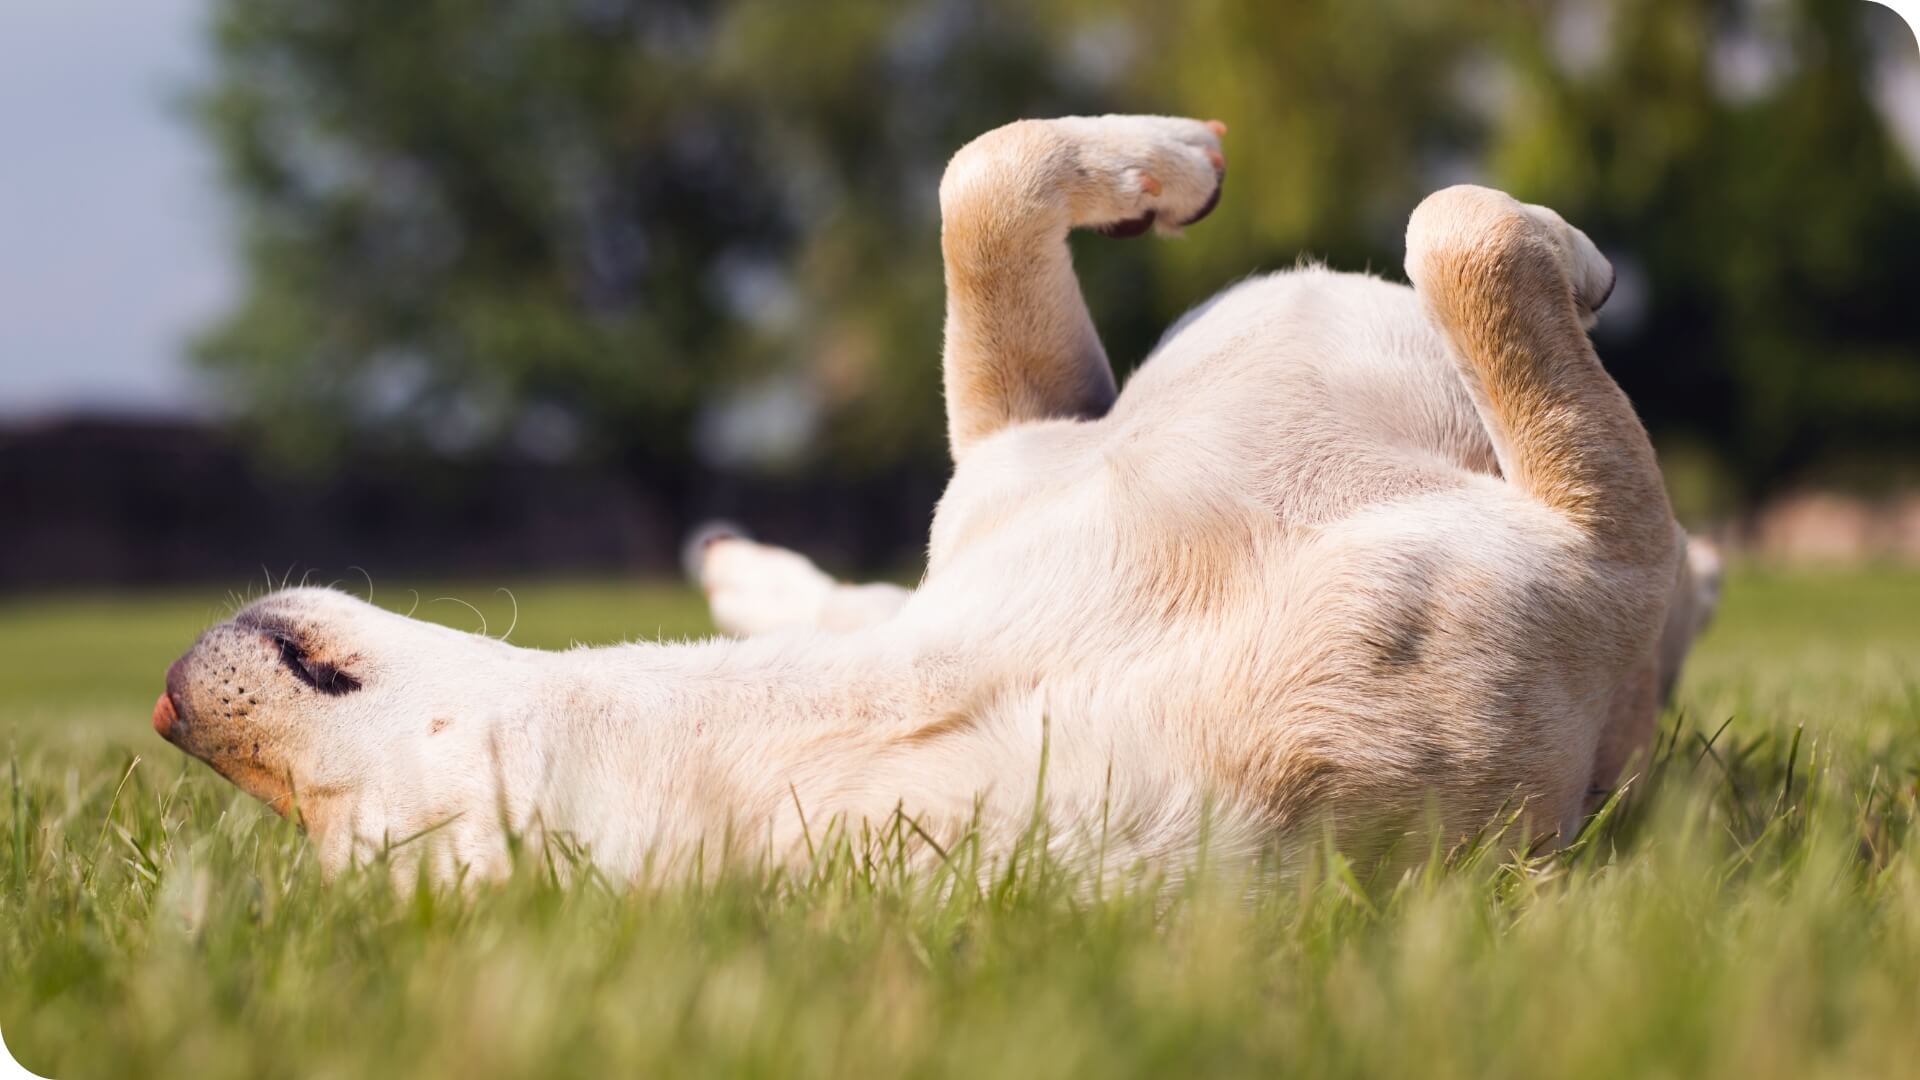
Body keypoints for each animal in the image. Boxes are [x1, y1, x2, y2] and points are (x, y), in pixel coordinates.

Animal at [149, 115, 1720, 883]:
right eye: (349, 838)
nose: (168, 702)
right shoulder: (1589, 557)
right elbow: (1468, 242)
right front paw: (1580, 256)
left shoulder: (1023, 440)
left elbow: (982, 184)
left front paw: (1156, 164)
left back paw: (745, 565)